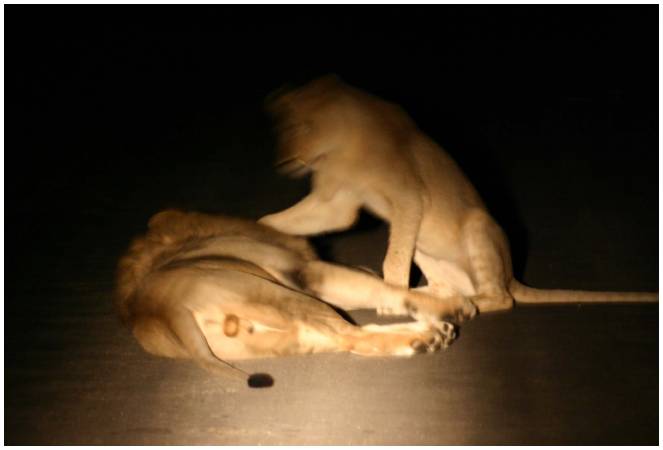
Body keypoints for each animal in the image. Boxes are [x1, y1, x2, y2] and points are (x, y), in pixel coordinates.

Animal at [115, 209, 465, 388]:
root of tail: (161, 309)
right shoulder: (309, 273)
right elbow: (381, 287)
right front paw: (453, 303)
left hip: (289, 334)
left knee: (352, 339)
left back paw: (427, 338)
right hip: (282, 294)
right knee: (354, 335)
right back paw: (431, 334)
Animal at [259, 75, 657, 313]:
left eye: (300, 126)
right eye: (280, 128)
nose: (279, 162)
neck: (338, 150)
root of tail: (512, 275)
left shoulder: (410, 198)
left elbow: (394, 259)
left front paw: (391, 295)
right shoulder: (337, 202)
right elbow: (288, 220)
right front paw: (257, 232)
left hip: (478, 227)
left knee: (503, 299)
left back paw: (469, 303)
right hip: (426, 247)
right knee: (448, 284)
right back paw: (432, 295)